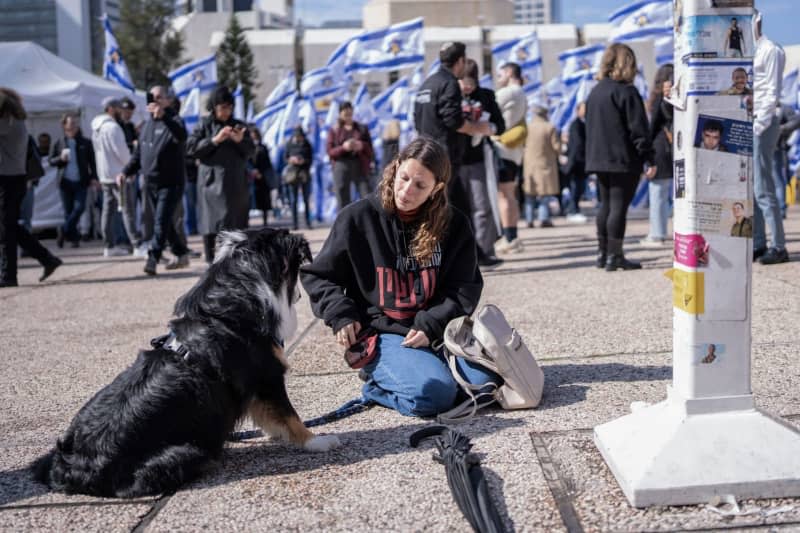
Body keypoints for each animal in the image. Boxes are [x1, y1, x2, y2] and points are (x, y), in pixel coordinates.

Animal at [29, 229, 338, 498]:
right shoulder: (267, 377)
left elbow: (273, 415)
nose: (299, 296)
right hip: (185, 451)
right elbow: (290, 414)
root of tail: (68, 466)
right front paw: (316, 441)